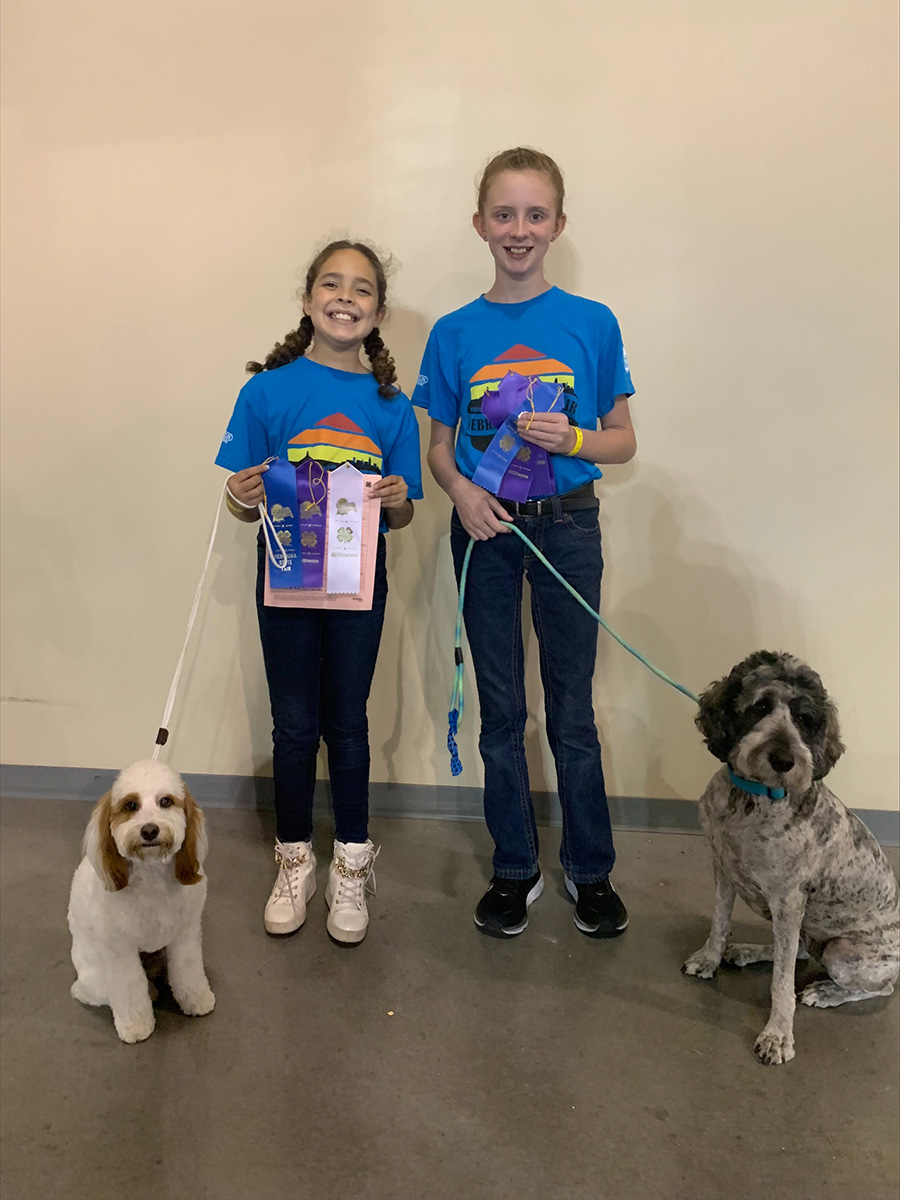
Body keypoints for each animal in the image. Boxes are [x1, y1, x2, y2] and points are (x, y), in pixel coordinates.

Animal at [67, 763, 216, 1046]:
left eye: (165, 801)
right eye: (131, 805)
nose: (149, 830)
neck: (152, 874)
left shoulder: (185, 935)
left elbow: (188, 971)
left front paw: (197, 1000)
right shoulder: (119, 950)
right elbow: (130, 990)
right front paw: (136, 1027)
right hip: (95, 980)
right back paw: (151, 991)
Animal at [681, 652, 900, 1065]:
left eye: (805, 718)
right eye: (761, 706)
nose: (784, 759)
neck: (752, 799)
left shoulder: (789, 900)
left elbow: (781, 983)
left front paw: (778, 1034)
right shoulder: (723, 871)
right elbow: (719, 924)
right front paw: (709, 958)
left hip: (841, 952)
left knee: (880, 987)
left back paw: (827, 991)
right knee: (796, 951)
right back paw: (748, 951)